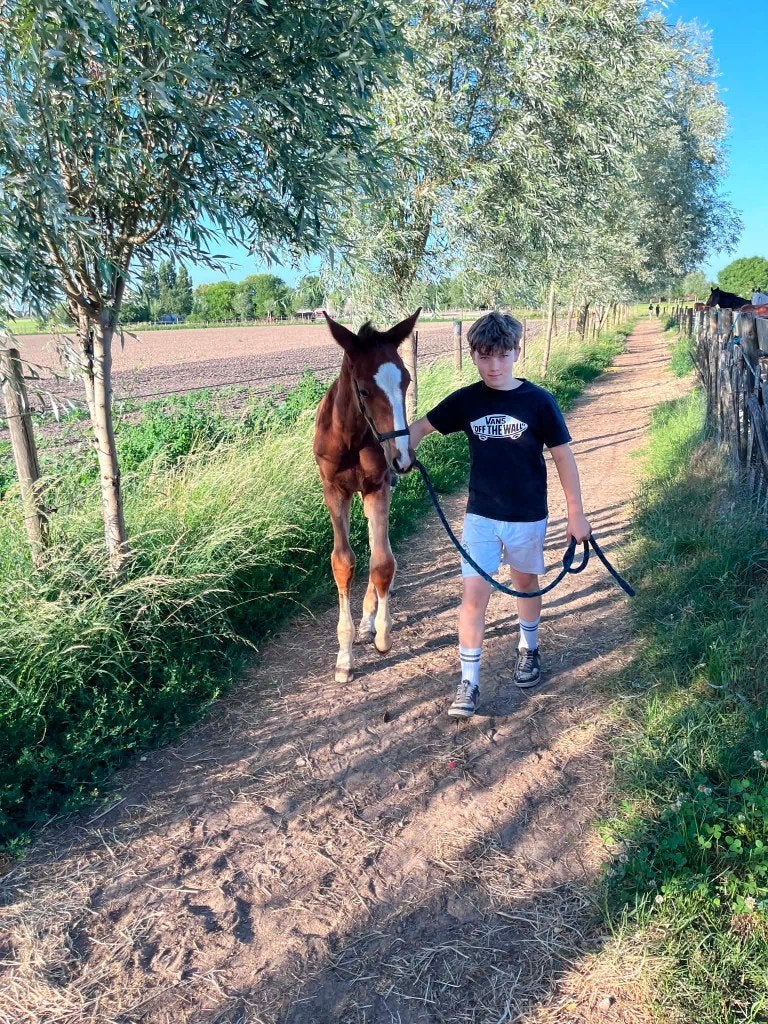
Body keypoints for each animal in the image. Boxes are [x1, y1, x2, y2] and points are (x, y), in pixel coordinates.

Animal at [314, 309, 420, 682]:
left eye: (406, 381)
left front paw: (383, 634)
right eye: (363, 389)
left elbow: (382, 562)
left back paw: (369, 619)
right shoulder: (334, 490)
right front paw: (344, 657)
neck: (351, 439)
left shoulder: (378, 486)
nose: (403, 457)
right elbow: (343, 562)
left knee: (379, 547)